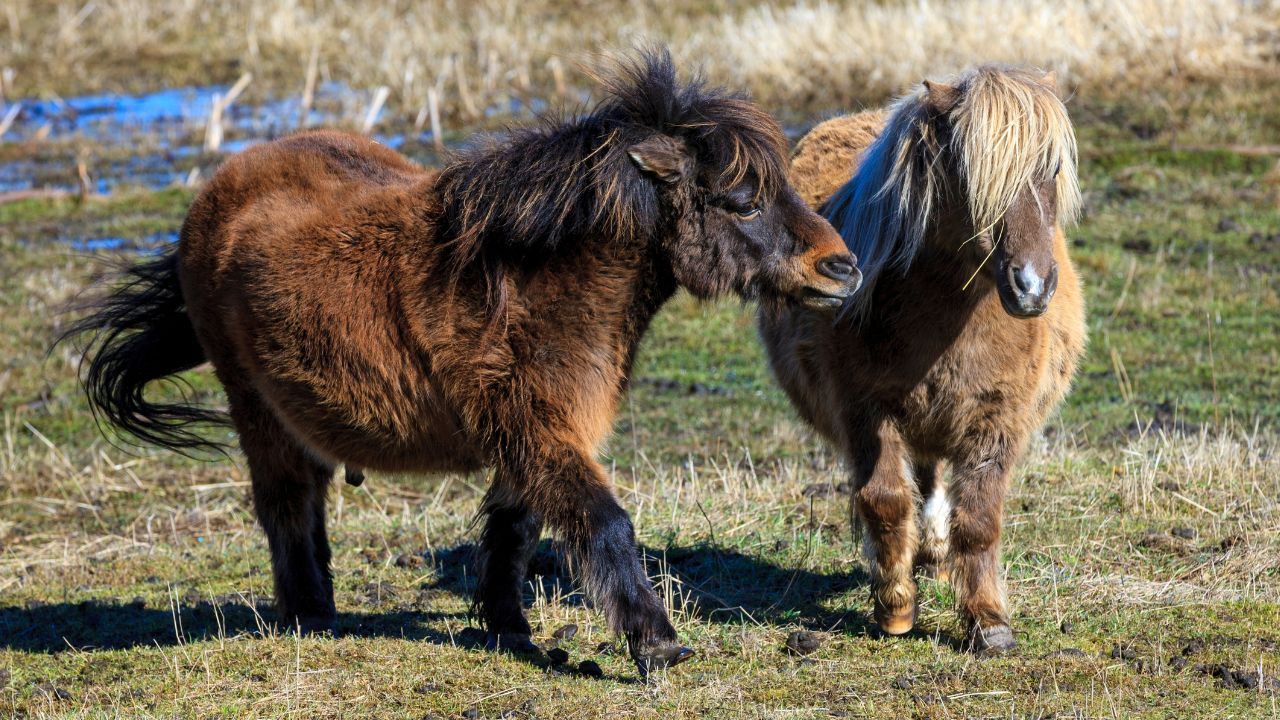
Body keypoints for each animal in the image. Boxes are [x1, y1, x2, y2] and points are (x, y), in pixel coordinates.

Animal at [64, 49, 861, 677]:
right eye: (742, 201)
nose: (843, 268)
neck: (536, 281)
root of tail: (217, 193)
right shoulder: (541, 430)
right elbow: (603, 522)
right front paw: (658, 645)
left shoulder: (531, 439)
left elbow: (515, 530)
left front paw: (509, 628)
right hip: (255, 410)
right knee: (285, 505)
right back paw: (309, 617)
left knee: (308, 502)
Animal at [759, 66, 1086, 652]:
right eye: (971, 177)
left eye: (1050, 169)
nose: (1031, 287)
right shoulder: (865, 410)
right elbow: (886, 499)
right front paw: (895, 609)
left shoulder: (997, 419)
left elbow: (978, 519)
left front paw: (988, 622)